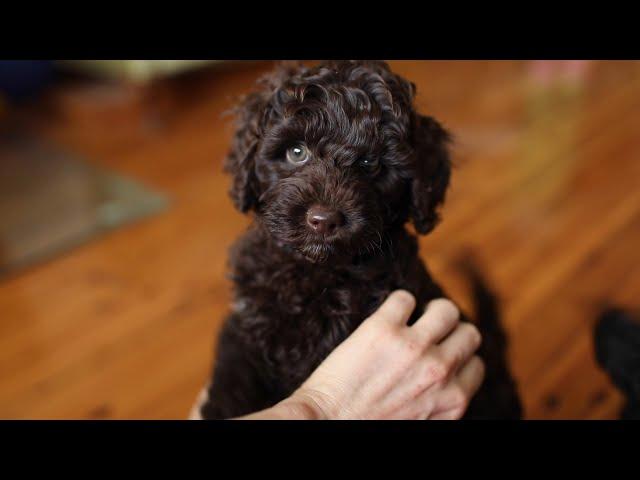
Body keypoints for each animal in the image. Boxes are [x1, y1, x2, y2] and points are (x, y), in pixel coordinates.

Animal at [198, 61, 524, 420]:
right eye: (296, 152)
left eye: (370, 163)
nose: (324, 220)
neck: (317, 271)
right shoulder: (246, 321)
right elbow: (233, 369)